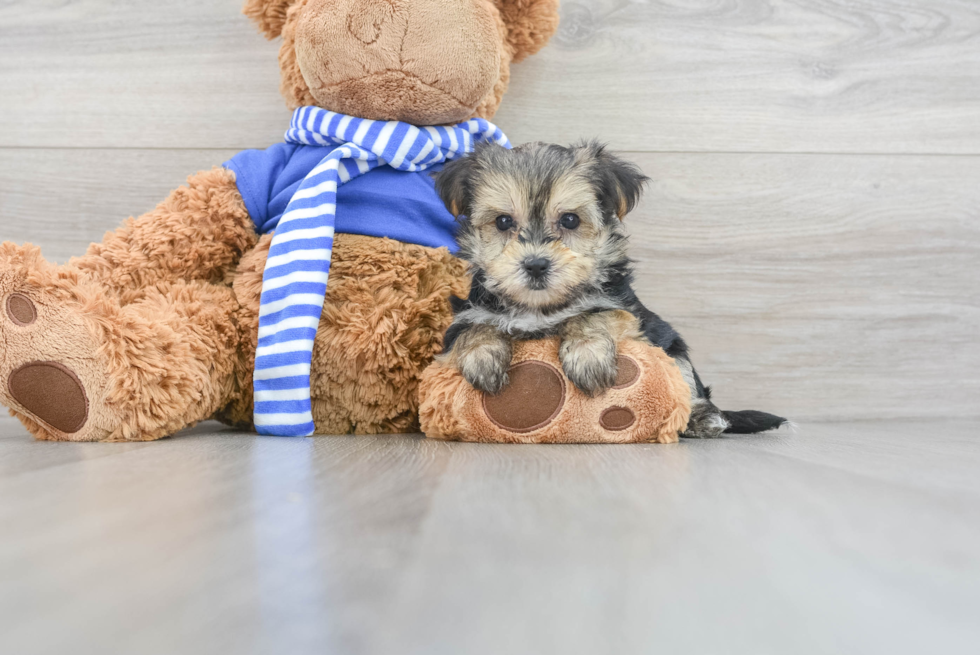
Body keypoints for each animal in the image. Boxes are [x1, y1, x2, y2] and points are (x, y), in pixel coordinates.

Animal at [432, 144, 784, 440]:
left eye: (570, 220)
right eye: (503, 222)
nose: (535, 265)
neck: (541, 307)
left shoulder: (627, 312)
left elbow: (591, 315)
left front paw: (587, 356)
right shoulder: (464, 315)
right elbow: (473, 328)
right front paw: (482, 358)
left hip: (672, 345)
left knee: (688, 383)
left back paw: (703, 418)